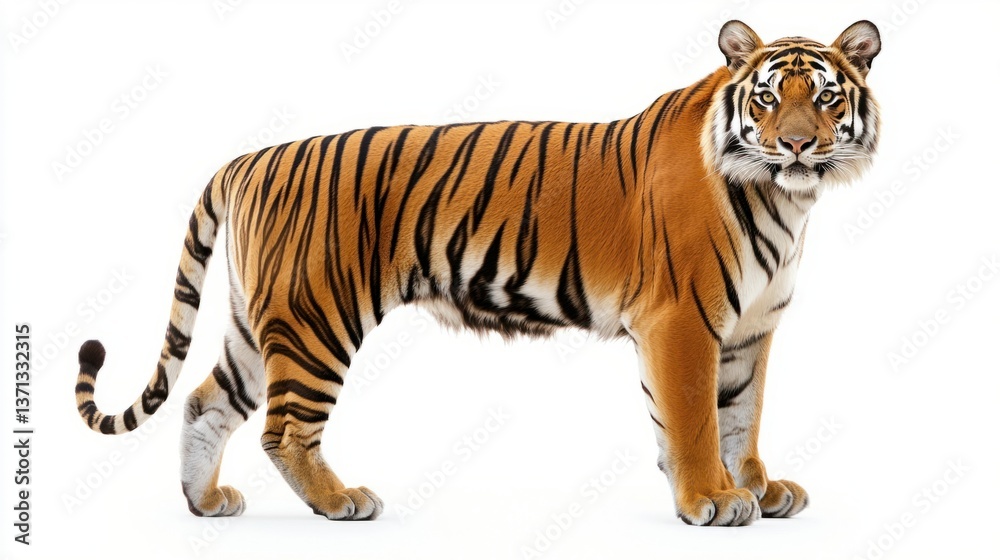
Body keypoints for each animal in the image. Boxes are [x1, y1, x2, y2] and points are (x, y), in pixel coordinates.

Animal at [75, 20, 880, 526]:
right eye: (768, 97)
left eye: (825, 96)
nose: (798, 145)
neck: (784, 198)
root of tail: (248, 158)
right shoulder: (683, 320)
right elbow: (693, 419)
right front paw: (709, 501)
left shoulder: (748, 330)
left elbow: (740, 417)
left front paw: (757, 489)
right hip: (314, 321)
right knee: (284, 429)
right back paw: (340, 502)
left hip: (258, 322)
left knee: (204, 403)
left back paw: (204, 503)